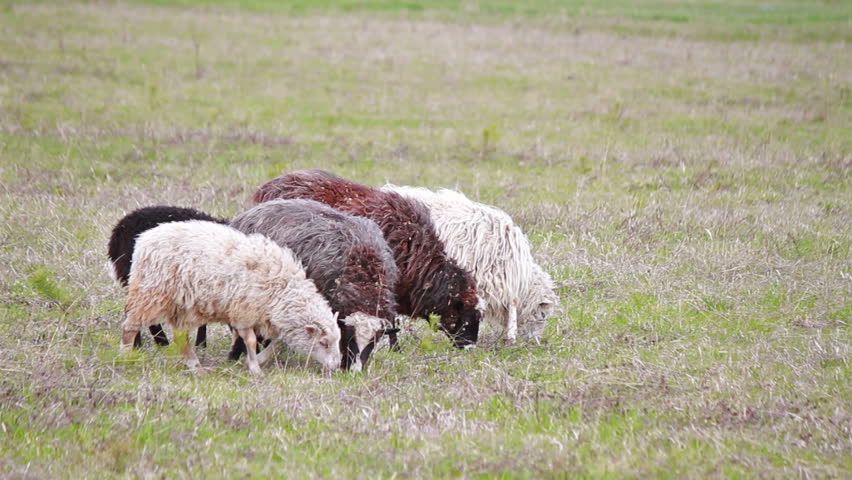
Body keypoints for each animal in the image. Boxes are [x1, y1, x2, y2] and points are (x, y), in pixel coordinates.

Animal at [120, 220, 342, 375]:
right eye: (323, 343)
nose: (337, 365)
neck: (283, 290)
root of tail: (144, 239)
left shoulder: (267, 317)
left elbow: (278, 343)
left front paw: (257, 360)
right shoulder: (244, 311)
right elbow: (250, 340)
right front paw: (254, 367)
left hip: (180, 305)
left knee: (180, 337)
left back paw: (196, 368)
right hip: (151, 294)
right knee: (129, 326)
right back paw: (126, 357)